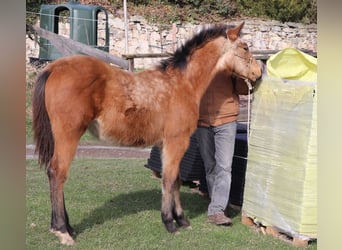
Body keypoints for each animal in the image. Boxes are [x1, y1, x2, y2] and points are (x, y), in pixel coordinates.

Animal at [32, 21, 262, 244]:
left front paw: (181, 220)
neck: (182, 83)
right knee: (57, 173)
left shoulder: (165, 144)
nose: (258, 74)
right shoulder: (177, 142)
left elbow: (176, 180)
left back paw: (66, 227)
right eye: (245, 47)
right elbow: (169, 180)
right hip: (68, 135)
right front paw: (170, 223)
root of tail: (54, 67)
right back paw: (62, 231)